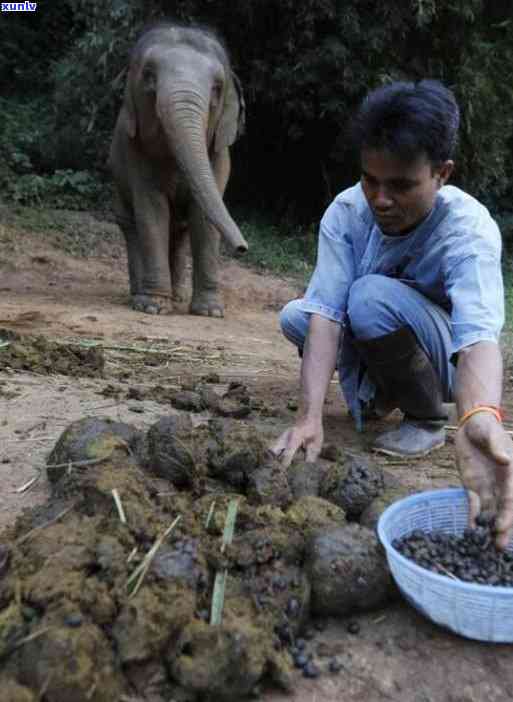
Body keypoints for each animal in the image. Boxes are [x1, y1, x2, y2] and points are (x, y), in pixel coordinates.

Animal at [109, 22, 249, 320]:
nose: (242, 248)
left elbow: (203, 217)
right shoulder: (135, 153)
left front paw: (210, 312)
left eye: (217, 88)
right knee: (131, 225)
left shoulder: (219, 156)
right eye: (149, 76)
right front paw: (153, 307)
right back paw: (140, 295)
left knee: (180, 232)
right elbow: (152, 211)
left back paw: (178, 296)